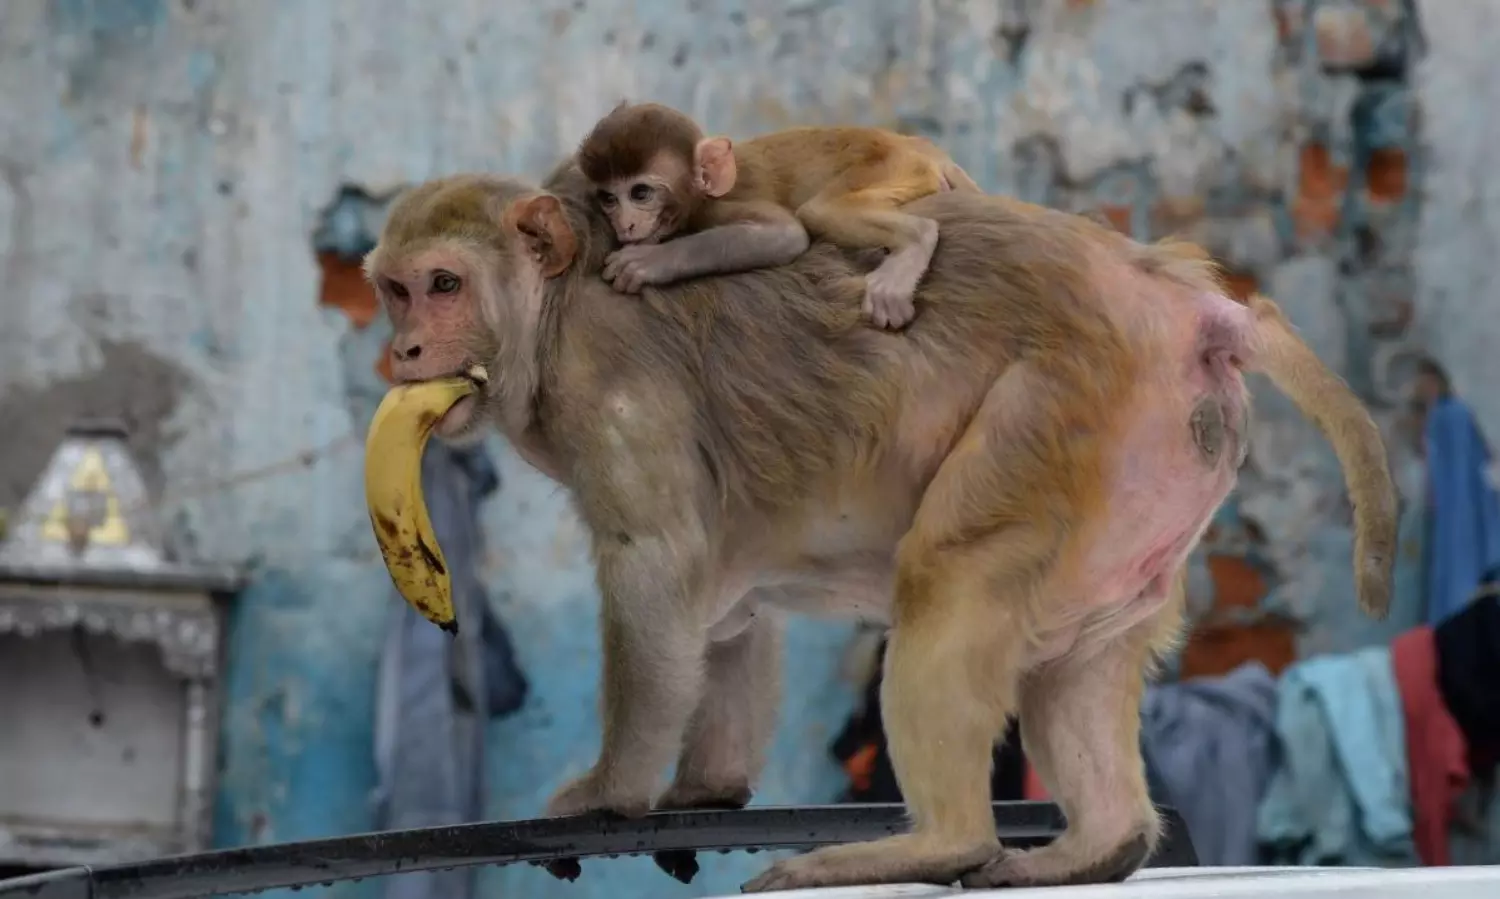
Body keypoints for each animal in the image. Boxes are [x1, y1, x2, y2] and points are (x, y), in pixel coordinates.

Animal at [364, 162, 1396, 892]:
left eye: (443, 284)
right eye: (395, 290)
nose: (402, 350)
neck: (557, 303)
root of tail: (1190, 305)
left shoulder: (609, 386)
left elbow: (655, 569)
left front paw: (611, 792)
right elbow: (725, 611)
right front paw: (705, 787)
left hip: (1069, 412)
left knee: (947, 575)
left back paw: (934, 846)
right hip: (1143, 484)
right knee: (1084, 648)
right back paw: (1095, 847)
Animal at [575, 101, 982, 330]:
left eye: (640, 193)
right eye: (608, 198)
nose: (624, 224)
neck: (703, 192)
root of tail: (923, 149)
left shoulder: (719, 206)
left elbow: (786, 234)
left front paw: (648, 261)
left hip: (893, 165)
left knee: (819, 212)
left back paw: (916, 239)